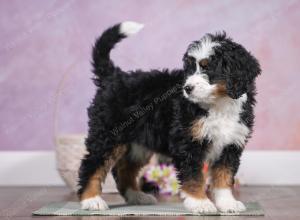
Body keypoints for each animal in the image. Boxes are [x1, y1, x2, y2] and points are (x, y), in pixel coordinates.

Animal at [77, 21, 260, 213]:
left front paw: (227, 203)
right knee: (91, 164)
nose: (187, 88)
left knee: (124, 169)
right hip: (108, 134)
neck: (219, 103)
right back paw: (92, 200)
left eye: (208, 67)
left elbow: (224, 176)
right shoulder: (188, 143)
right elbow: (194, 176)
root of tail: (114, 76)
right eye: (189, 69)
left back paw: (137, 196)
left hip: (139, 144)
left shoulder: (231, 144)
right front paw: (200, 203)